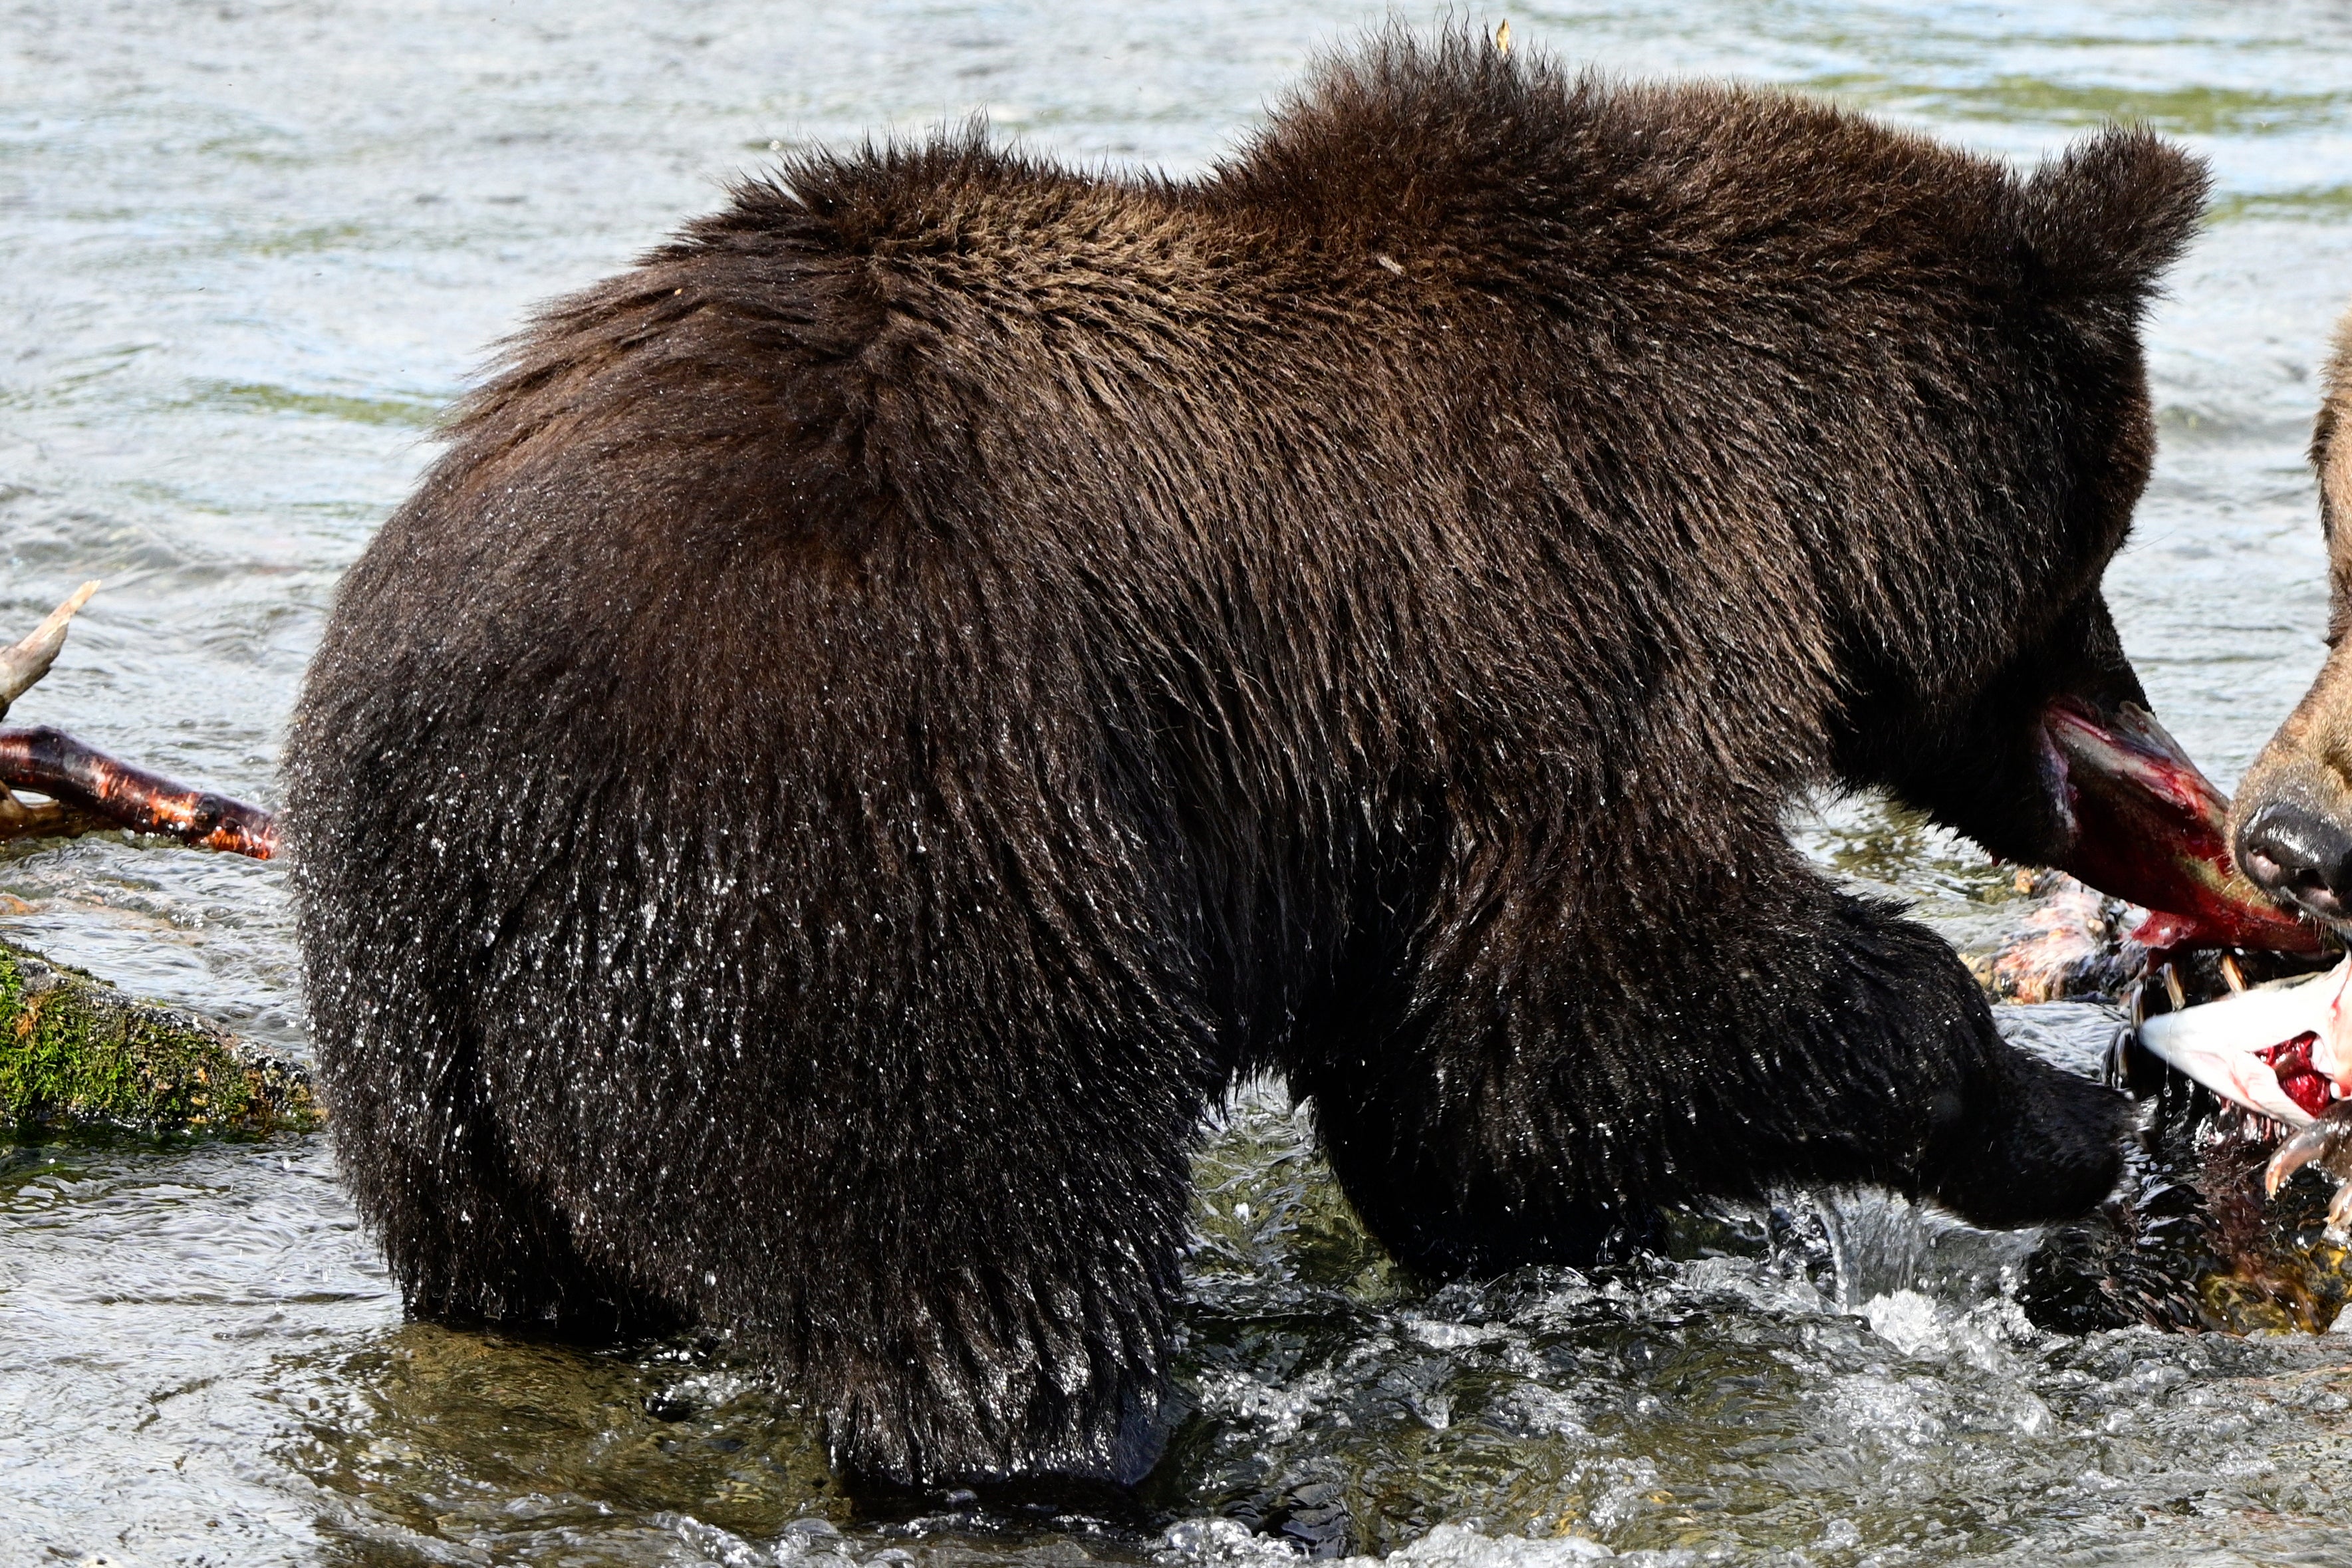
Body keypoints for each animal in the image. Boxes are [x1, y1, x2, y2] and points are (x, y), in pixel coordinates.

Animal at [286, 31, 2217, 1491]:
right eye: (2106, 534)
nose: (2171, 761)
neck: (1776, 481)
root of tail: (448, 801)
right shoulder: (1554, 634)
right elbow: (1603, 999)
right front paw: (2062, 1108)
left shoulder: (1400, 801)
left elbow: (1466, 1100)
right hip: (866, 859)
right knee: (987, 1249)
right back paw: (1098, 1454)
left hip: (415, 1058)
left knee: (516, 1272)